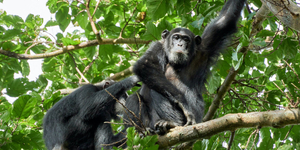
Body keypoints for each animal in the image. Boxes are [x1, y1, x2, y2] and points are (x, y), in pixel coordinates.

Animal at [124, 0, 246, 134]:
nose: (180, 44)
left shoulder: (205, 48)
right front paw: (183, 103)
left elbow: (225, 20)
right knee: (138, 96)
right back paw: (146, 130)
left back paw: (170, 124)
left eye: (186, 39)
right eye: (176, 37)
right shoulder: (157, 46)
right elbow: (145, 65)